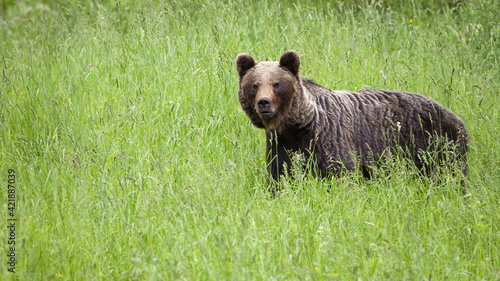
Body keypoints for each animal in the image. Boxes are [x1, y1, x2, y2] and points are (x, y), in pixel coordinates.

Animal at [236, 49, 466, 182]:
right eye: (255, 84)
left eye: (276, 84)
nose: (263, 102)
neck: (297, 125)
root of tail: (453, 114)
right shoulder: (281, 144)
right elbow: (281, 175)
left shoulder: (328, 137)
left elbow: (341, 172)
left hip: (434, 143)